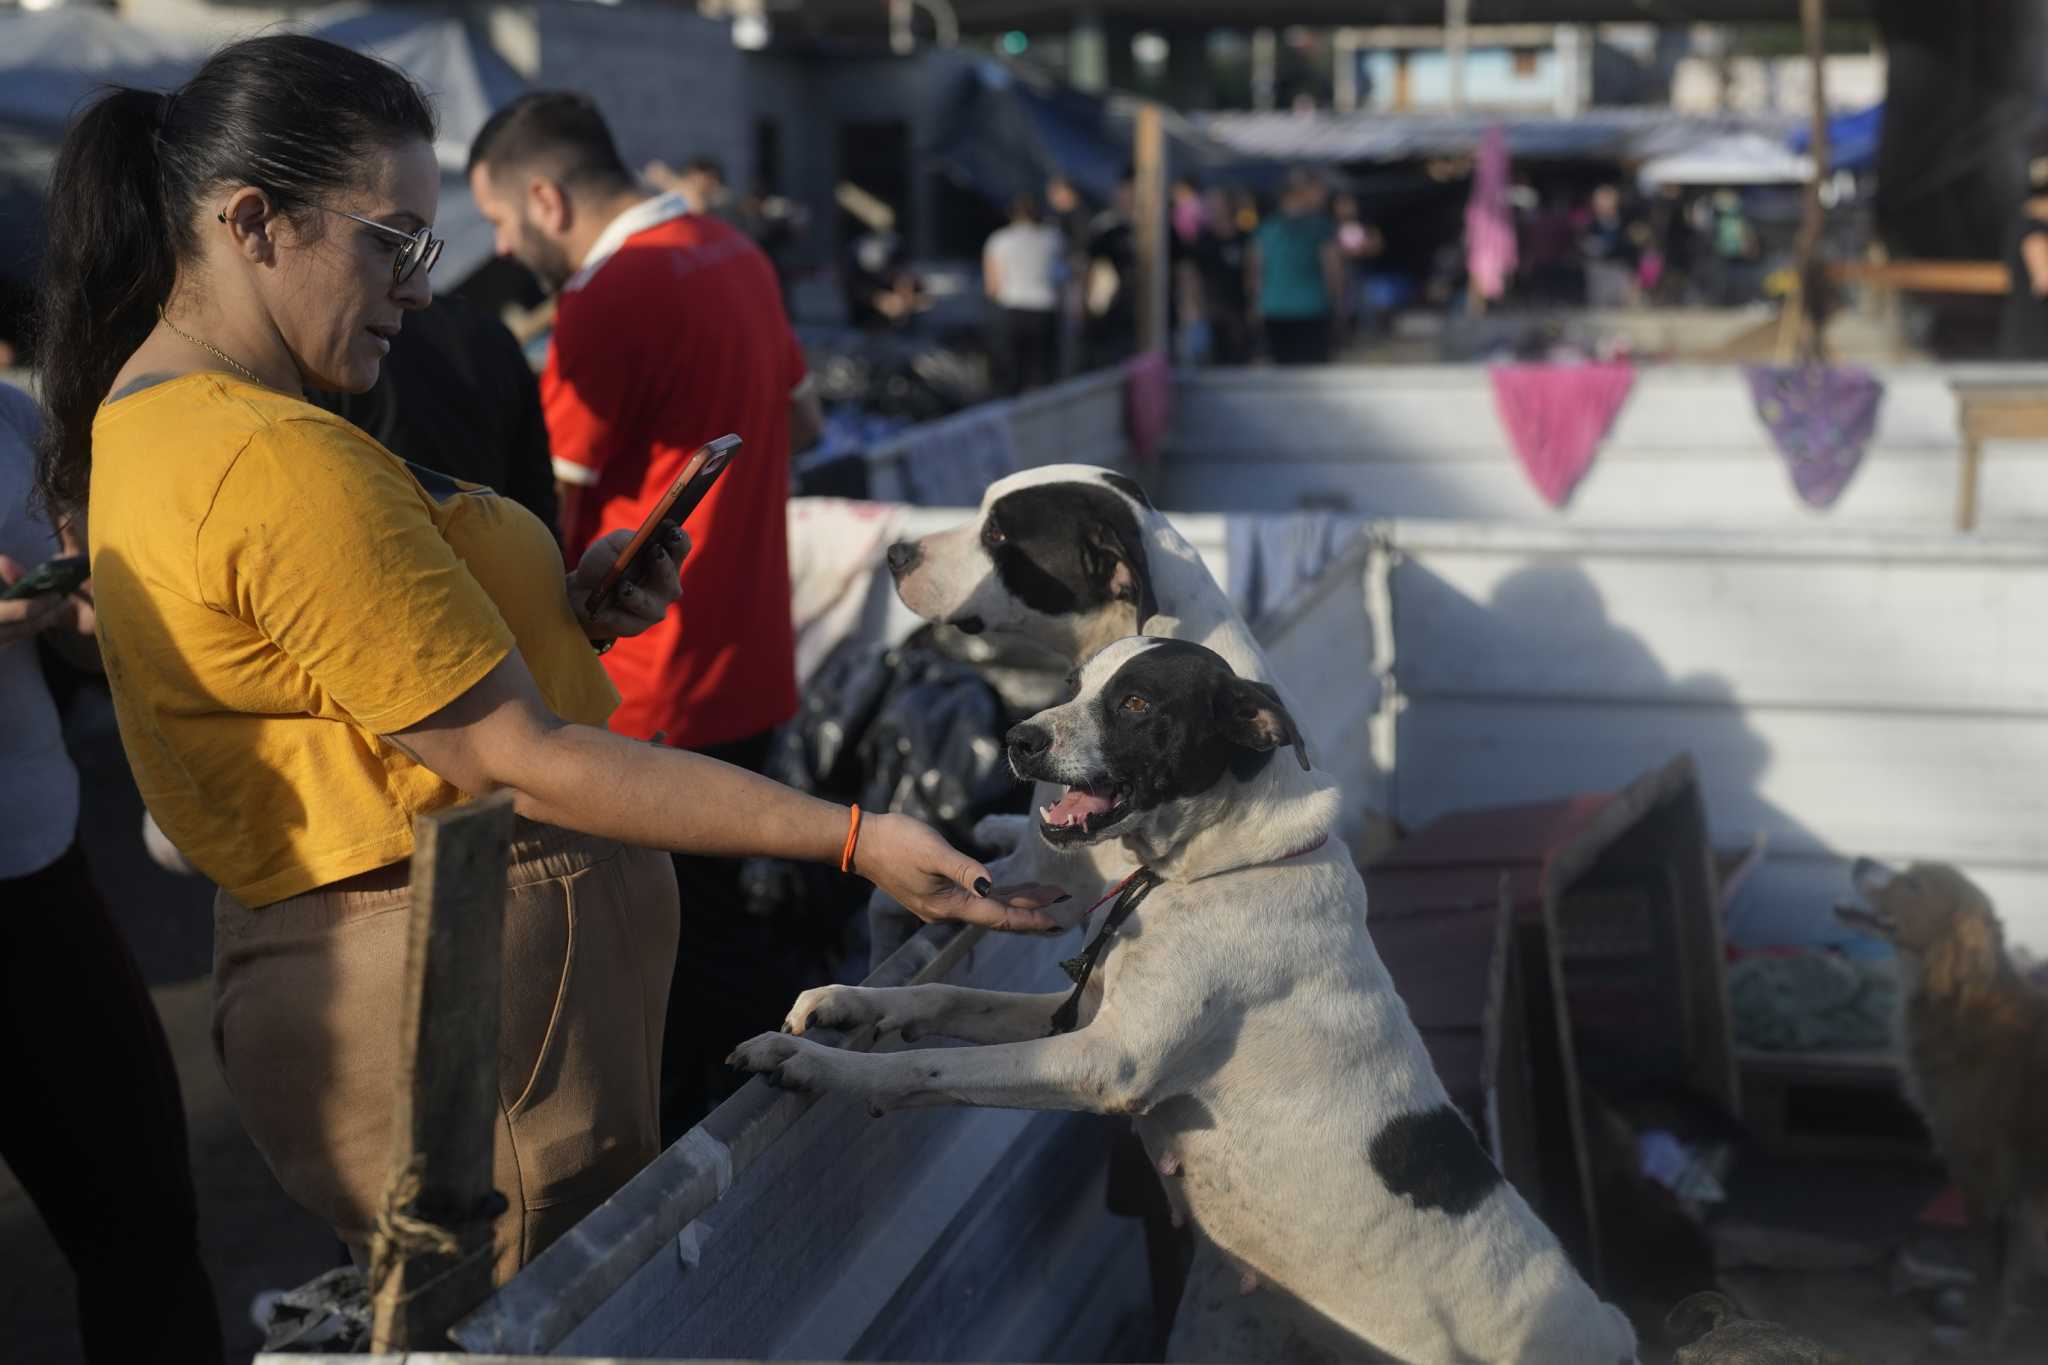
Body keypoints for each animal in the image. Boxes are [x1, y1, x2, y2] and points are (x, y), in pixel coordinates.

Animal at [1843, 859, 2048, 1350]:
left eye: (1913, 884)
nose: (1860, 860)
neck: (1963, 1001)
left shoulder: (1984, 1186)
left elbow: (1991, 1284)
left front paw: (1977, 1345)